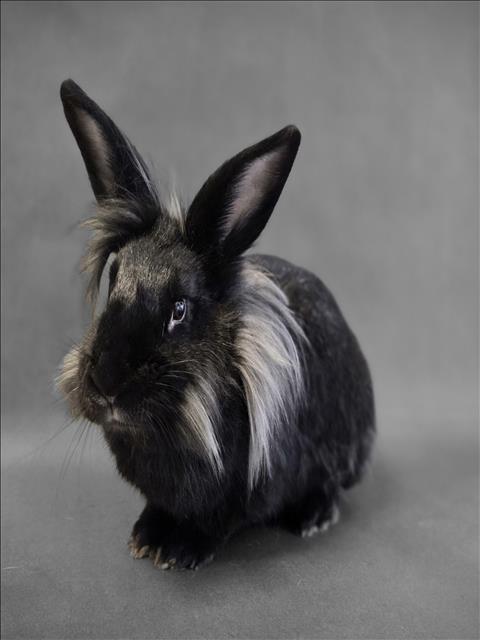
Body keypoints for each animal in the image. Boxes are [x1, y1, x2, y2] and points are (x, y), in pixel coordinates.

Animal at [57, 79, 375, 571]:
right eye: (114, 282)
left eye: (180, 309)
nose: (107, 383)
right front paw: (145, 537)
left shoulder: (240, 493)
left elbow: (217, 521)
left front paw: (179, 551)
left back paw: (312, 517)